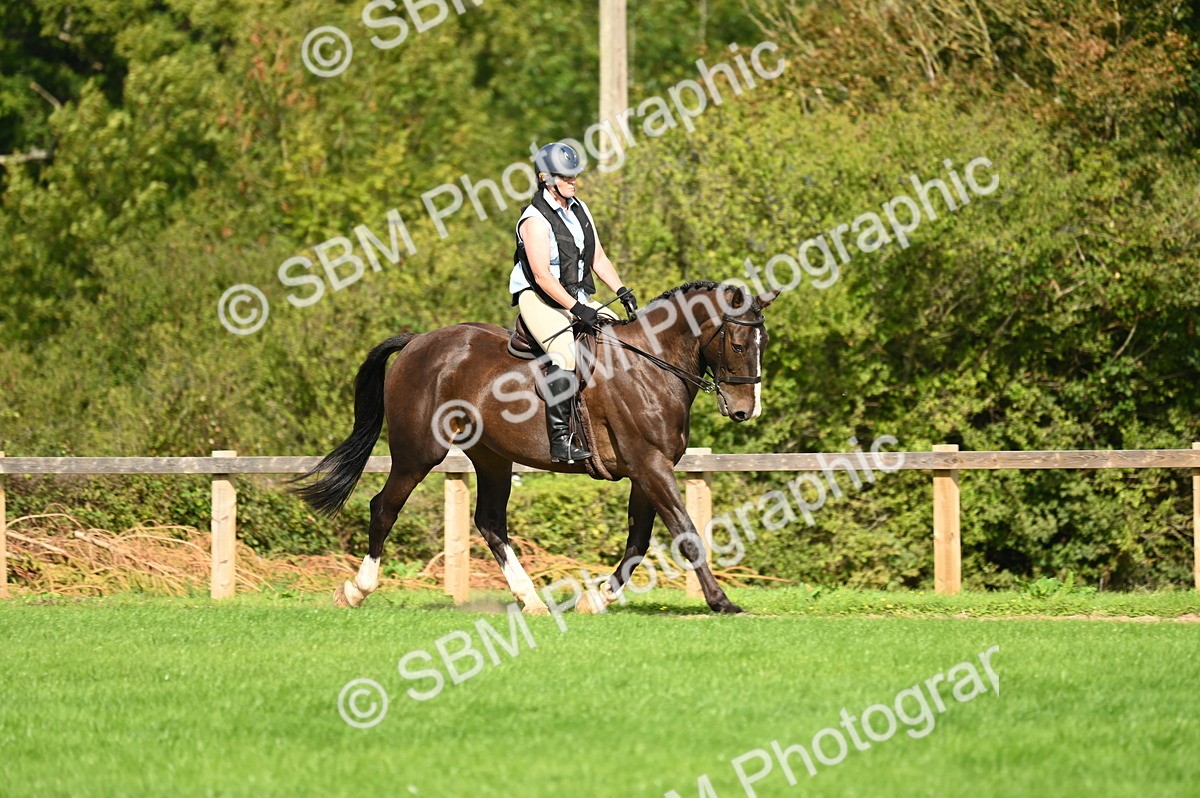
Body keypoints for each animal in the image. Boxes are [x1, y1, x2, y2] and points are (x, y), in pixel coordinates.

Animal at [293, 281, 778, 614]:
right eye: (738, 344)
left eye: (763, 344)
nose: (744, 411)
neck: (650, 365)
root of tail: (417, 341)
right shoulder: (650, 466)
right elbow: (687, 533)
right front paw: (721, 601)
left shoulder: (647, 471)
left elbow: (639, 541)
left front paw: (596, 599)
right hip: (419, 453)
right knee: (384, 508)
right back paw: (356, 590)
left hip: (492, 457)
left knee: (490, 522)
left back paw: (531, 600)